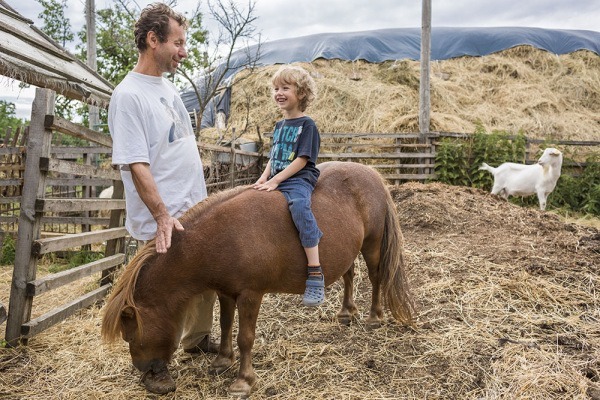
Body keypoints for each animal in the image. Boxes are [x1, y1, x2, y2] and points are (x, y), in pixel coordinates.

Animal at [101, 162, 414, 396]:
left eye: (132, 332)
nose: (144, 370)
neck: (219, 236)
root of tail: (372, 174)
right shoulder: (226, 292)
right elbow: (226, 326)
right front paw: (222, 360)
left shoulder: (251, 295)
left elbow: (245, 337)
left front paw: (243, 381)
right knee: (349, 275)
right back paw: (347, 312)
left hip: (372, 245)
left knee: (375, 277)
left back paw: (374, 317)